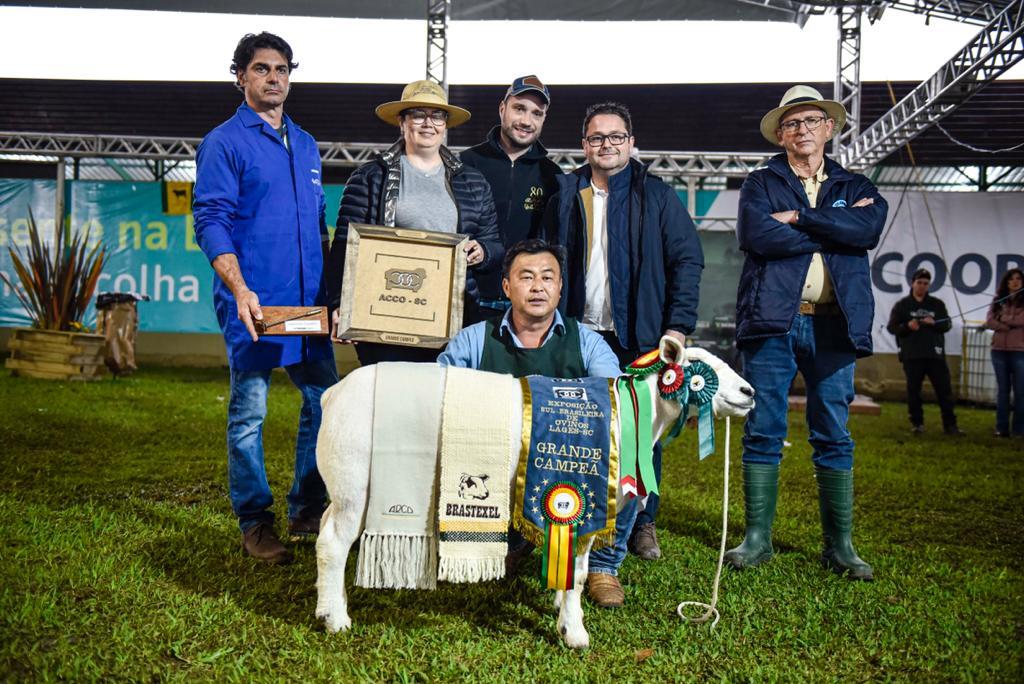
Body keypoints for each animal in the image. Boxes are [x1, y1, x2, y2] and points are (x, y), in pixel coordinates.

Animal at [311, 339, 753, 651]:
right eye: (698, 369)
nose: (749, 392)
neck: (634, 416)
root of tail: (333, 394)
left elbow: (571, 569)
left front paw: (560, 607)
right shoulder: (588, 500)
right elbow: (578, 574)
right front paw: (574, 631)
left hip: (341, 483)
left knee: (324, 535)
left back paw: (325, 605)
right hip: (356, 480)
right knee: (333, 543)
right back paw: (336, 620)